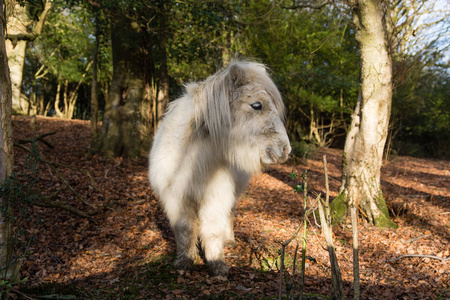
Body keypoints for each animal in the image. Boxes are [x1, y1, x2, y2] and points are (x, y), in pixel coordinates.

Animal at [150, 60, 292, 276]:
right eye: (256, 105)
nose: (285, 150)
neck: (193, 160)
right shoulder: (177, 198)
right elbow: (185, 229)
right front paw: (184, 262)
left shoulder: (215, 197)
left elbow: (212, 230)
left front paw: (217, 264)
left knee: (229, 214)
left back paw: (229, 240)